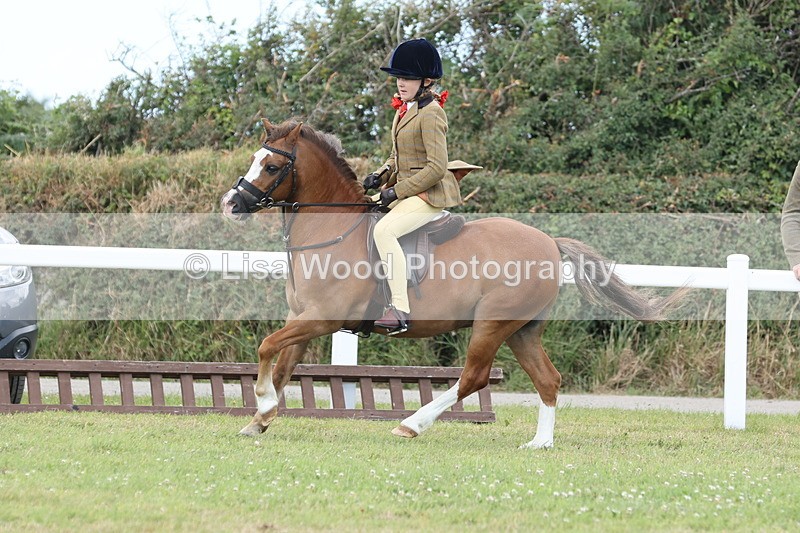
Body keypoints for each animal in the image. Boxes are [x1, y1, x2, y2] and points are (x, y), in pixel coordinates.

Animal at [220, 118, 683, 448]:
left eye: (272, 165)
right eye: (254, 159)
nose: (230, 203)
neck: (332, 231)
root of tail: (550, 242)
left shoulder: (322, 319)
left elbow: (266, 348)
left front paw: (263, 406)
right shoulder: (301, 317)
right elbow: (281, 363)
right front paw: (261, 418)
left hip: (492, 325)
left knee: (474, 377)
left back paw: (411, 425)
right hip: (522, 330)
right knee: (547, 379)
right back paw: (540, 443)